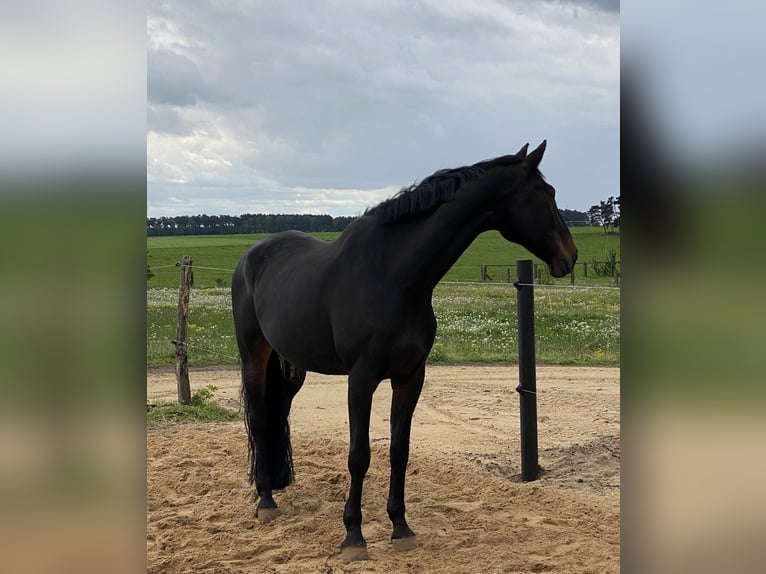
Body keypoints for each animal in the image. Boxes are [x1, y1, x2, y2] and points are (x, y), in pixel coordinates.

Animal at [231, 140, 577, 561]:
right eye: (548, 194)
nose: (571, 256)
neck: (394, 277)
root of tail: (251, 256)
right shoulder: (361, 379)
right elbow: (359, 455)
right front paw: (353, 536)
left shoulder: (411, 376)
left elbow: (400, 449)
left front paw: (400, 526)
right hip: (254, 354)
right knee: (260, 418)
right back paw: (265, 500)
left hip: (292, 365)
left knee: (279, 413)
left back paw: (278, 485)